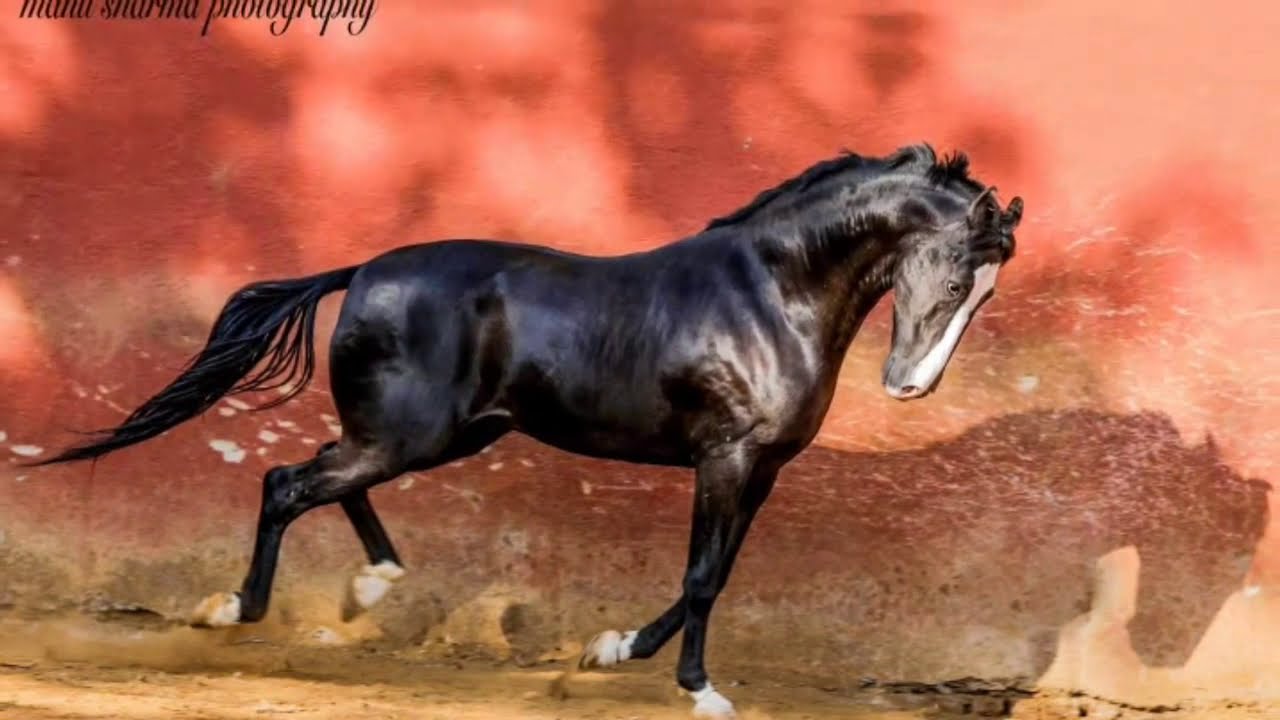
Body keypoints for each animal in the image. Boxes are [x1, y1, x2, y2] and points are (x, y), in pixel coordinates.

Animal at [33, 143, 1024, 718]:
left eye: (985, 295)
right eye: (952, 277)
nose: (909, 386)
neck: (770, 294)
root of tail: (361, 270)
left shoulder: (763, 468)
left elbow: (714, 575)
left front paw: (609, 650)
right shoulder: (726, 457)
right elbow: (704, 576)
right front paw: (701, 692)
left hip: (442, 435)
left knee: (324, 478)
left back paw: (374, 585)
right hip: (413, 435)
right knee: (287, 483)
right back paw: (234, 610)